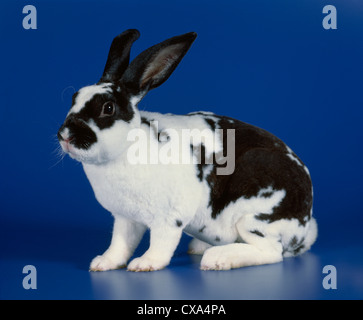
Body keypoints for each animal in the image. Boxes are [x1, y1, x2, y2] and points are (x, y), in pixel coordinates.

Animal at [57, 28, 318, 272]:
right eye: (74, 97)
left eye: (108, 108)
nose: (65, 135)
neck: (127, 148)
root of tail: (305, 225)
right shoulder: (125, 219)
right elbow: (120, 244)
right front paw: (103, 263)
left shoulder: (169, 218)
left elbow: (161, 244)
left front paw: (144, 264)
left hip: (253, 217)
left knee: (271, 252)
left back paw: (217, 259)